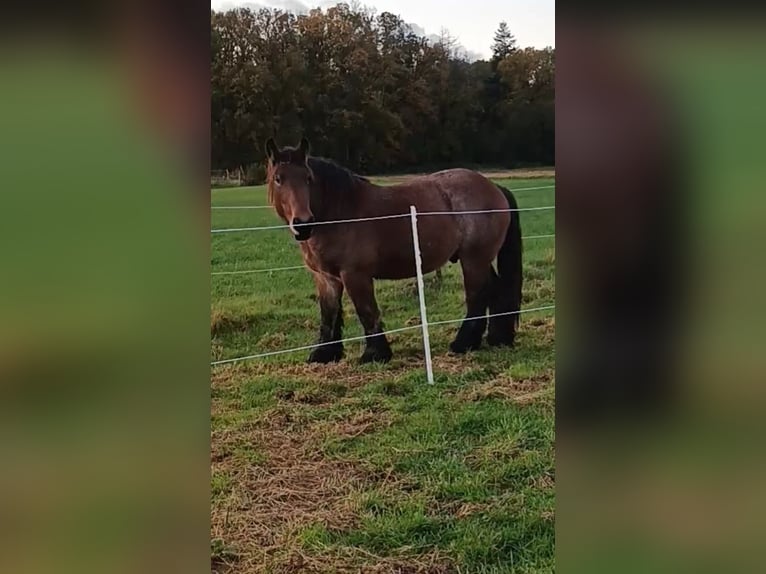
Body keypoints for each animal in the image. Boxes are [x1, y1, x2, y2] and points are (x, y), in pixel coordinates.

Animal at [264, 136, 520, 364]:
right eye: (278, 179)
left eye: (308, 178)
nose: (303, 224)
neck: (340, 213)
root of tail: (494, 187)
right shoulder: (326, 277)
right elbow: (329, 314)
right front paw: (324, 354)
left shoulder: (355, 275)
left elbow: (367, 311)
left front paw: (375, 354)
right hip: (480, 259)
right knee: (494, 290)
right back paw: (496, 338)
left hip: (473, 259)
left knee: (477, 295)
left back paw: (463, 343)